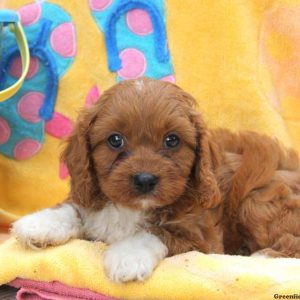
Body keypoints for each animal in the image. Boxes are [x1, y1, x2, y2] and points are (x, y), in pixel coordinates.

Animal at [11, 77, 300, 282]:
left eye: (172, 140)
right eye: (115, 140)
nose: (145, 179)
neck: (132, 208)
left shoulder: (201, 239)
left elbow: (153, 232)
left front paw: (127, 257)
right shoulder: (90, 192)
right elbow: (74, 208)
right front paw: (39, 224)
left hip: (257, 199)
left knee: (291, 244)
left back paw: (259, 258)